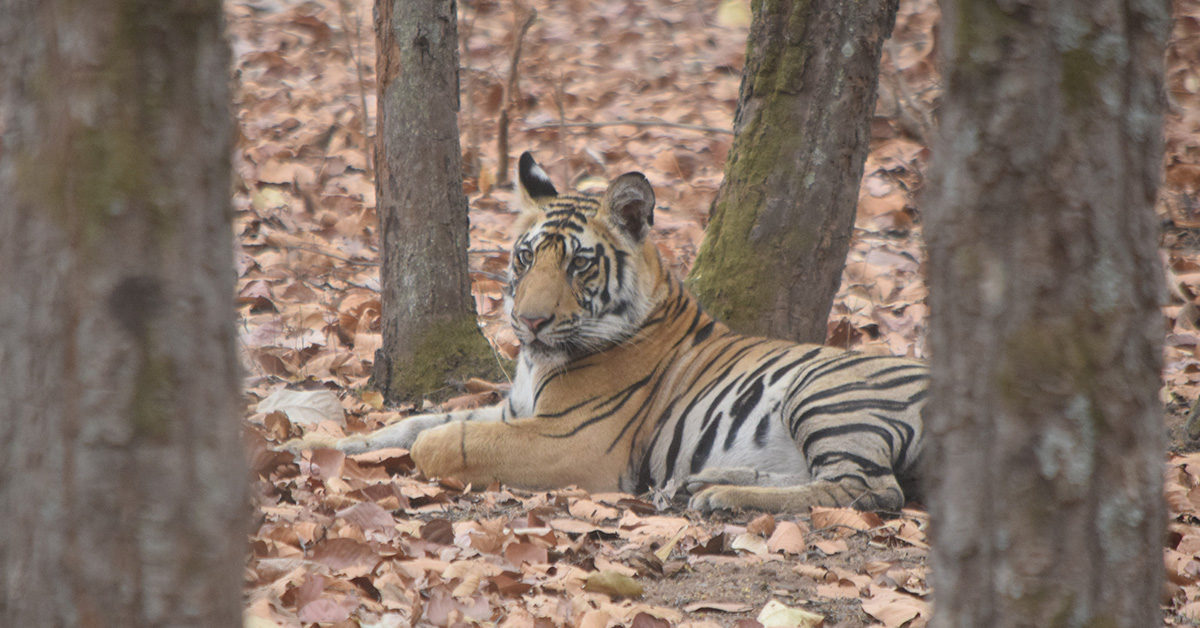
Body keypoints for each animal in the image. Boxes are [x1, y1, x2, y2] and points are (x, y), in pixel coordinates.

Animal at [283, 153, 926, 516]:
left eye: (579, 265)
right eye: (525, 258)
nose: (529, 322)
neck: (535, 363)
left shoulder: (572, 439)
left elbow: (444, 440)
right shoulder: (515, 409)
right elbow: (410, 424)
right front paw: (310, 444)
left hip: (824, 393)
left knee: (867, 490)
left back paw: (720, 498)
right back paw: (699, 485)